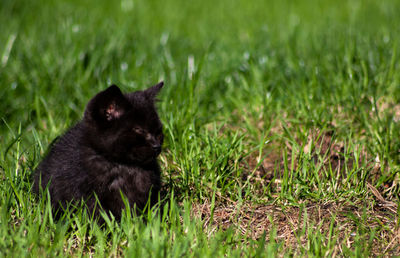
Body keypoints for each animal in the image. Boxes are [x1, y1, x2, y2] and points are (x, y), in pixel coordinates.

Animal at [33, 82, 165, 220]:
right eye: (139, 130)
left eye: (158, 131)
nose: (157, 146)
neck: (122, 165)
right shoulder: (85, 196)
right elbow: (96, 215)